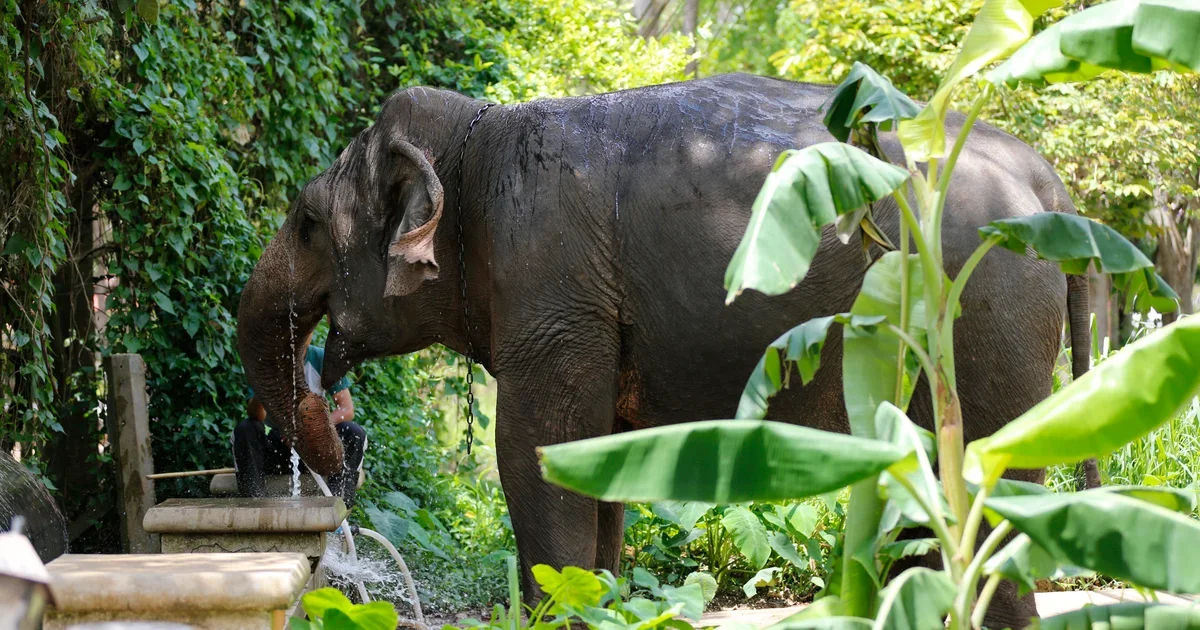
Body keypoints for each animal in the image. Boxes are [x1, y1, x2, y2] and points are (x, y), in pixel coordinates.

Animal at [237, 73, 1092, 628]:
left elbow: (533, 452)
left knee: (980, 490)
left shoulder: (551, 283)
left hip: (983, 304)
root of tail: (1054, 188)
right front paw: (596, 599)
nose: (331, 429)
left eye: (307, 223)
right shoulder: (584, 311)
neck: (474, 137)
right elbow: (594, 459)